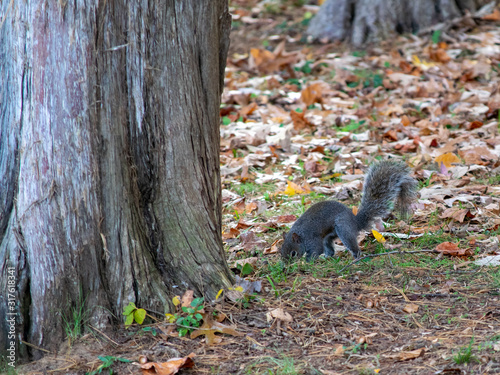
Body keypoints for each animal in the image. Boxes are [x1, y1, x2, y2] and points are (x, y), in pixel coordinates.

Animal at [282, 162, 418, 262]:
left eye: (293, 253)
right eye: (281, 250)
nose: (284, 266)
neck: (301, 234)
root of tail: (355, 222)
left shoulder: (312, 239)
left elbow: (316, 250)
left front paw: (308, 263)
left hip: (343, 228)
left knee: (354, 248)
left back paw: (355, 259)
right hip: (329, 236)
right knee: (330, 250)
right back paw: (327, 259)